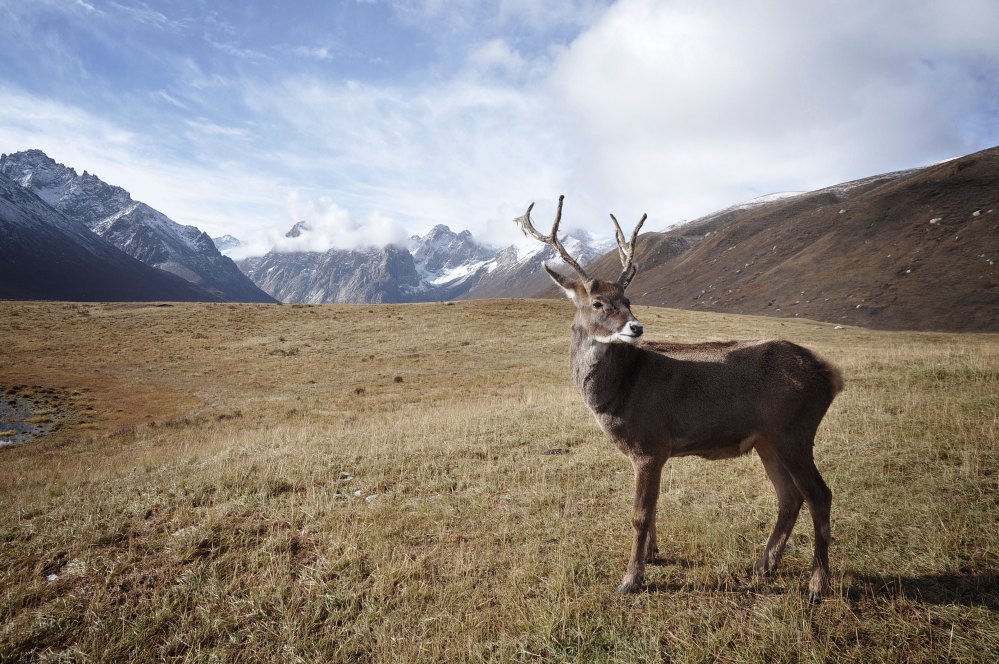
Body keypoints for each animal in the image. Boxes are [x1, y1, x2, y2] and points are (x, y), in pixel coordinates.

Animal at [517, 196, 844, 602]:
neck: (618, 392)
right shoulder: (651, 451)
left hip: (794, 430)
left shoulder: (650, 443)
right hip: (768, 439)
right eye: (597, 303)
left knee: (819, 495)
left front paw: (630, 579)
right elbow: (653, 508)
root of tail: (831, 375)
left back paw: (817, 584)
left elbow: (640, 514)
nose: (636, 326)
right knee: (790, 497)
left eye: (628, 298)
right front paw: (652, 556)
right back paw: (763, 566)